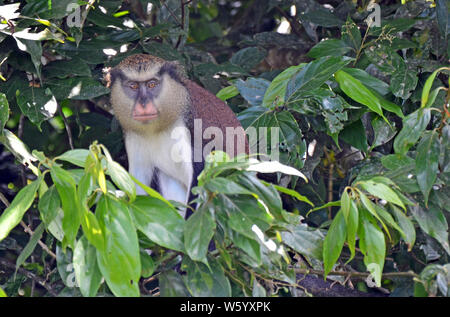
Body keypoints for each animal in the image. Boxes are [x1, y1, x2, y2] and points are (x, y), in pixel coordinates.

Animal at [107, 54, 250, 217]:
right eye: (133, 86)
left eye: (152, 84)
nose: (143, 104)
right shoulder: (132, 133)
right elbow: (138, 182)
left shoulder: (189, 128)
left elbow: (200, 182)